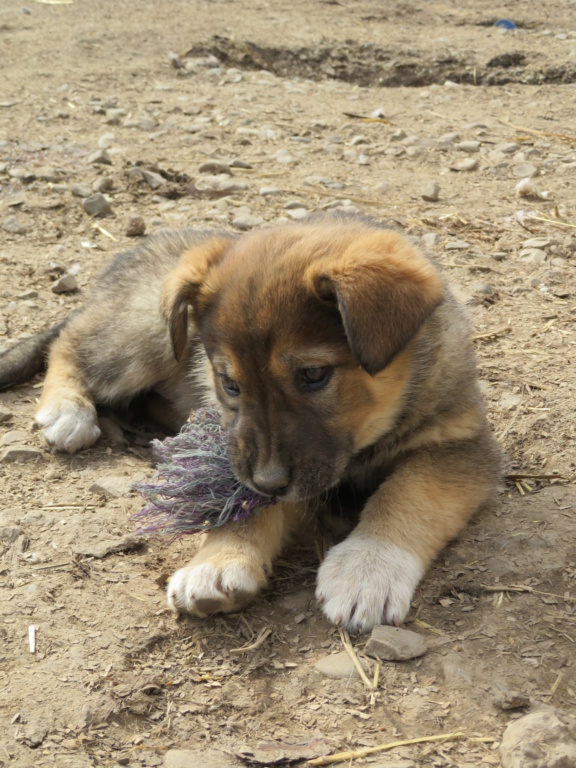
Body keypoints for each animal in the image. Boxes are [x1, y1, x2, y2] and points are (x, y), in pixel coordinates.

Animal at [0, 214, 500, 632]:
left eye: (313, 374)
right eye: (229, 383)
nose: (269, 481)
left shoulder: (461, 446)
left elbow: (408, 494)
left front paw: (368, 566)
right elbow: (243, 503)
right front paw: (219, 561)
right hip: (145, 335)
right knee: (68, 342)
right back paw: (67, 409)